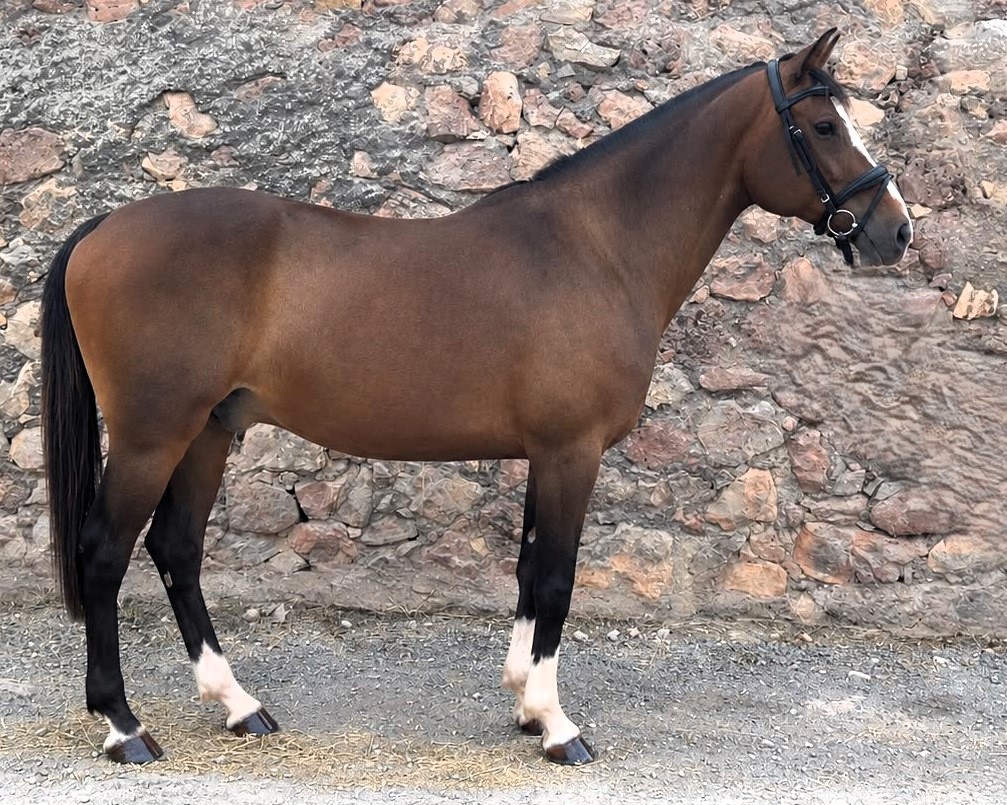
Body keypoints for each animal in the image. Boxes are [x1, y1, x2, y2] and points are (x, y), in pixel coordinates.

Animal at [40, 29, 911, 766]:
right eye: (824, 126)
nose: (894, 231)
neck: (596, 247)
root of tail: (105, 226)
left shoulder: (546, 453)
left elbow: (527, 572)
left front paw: (525, 703)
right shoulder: (570, 452)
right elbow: (555, 579)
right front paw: (558, 727)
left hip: (210, 430)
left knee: (176, 549)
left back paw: (238, 704)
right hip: (154, 435)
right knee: (105, 553)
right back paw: (124, 727)